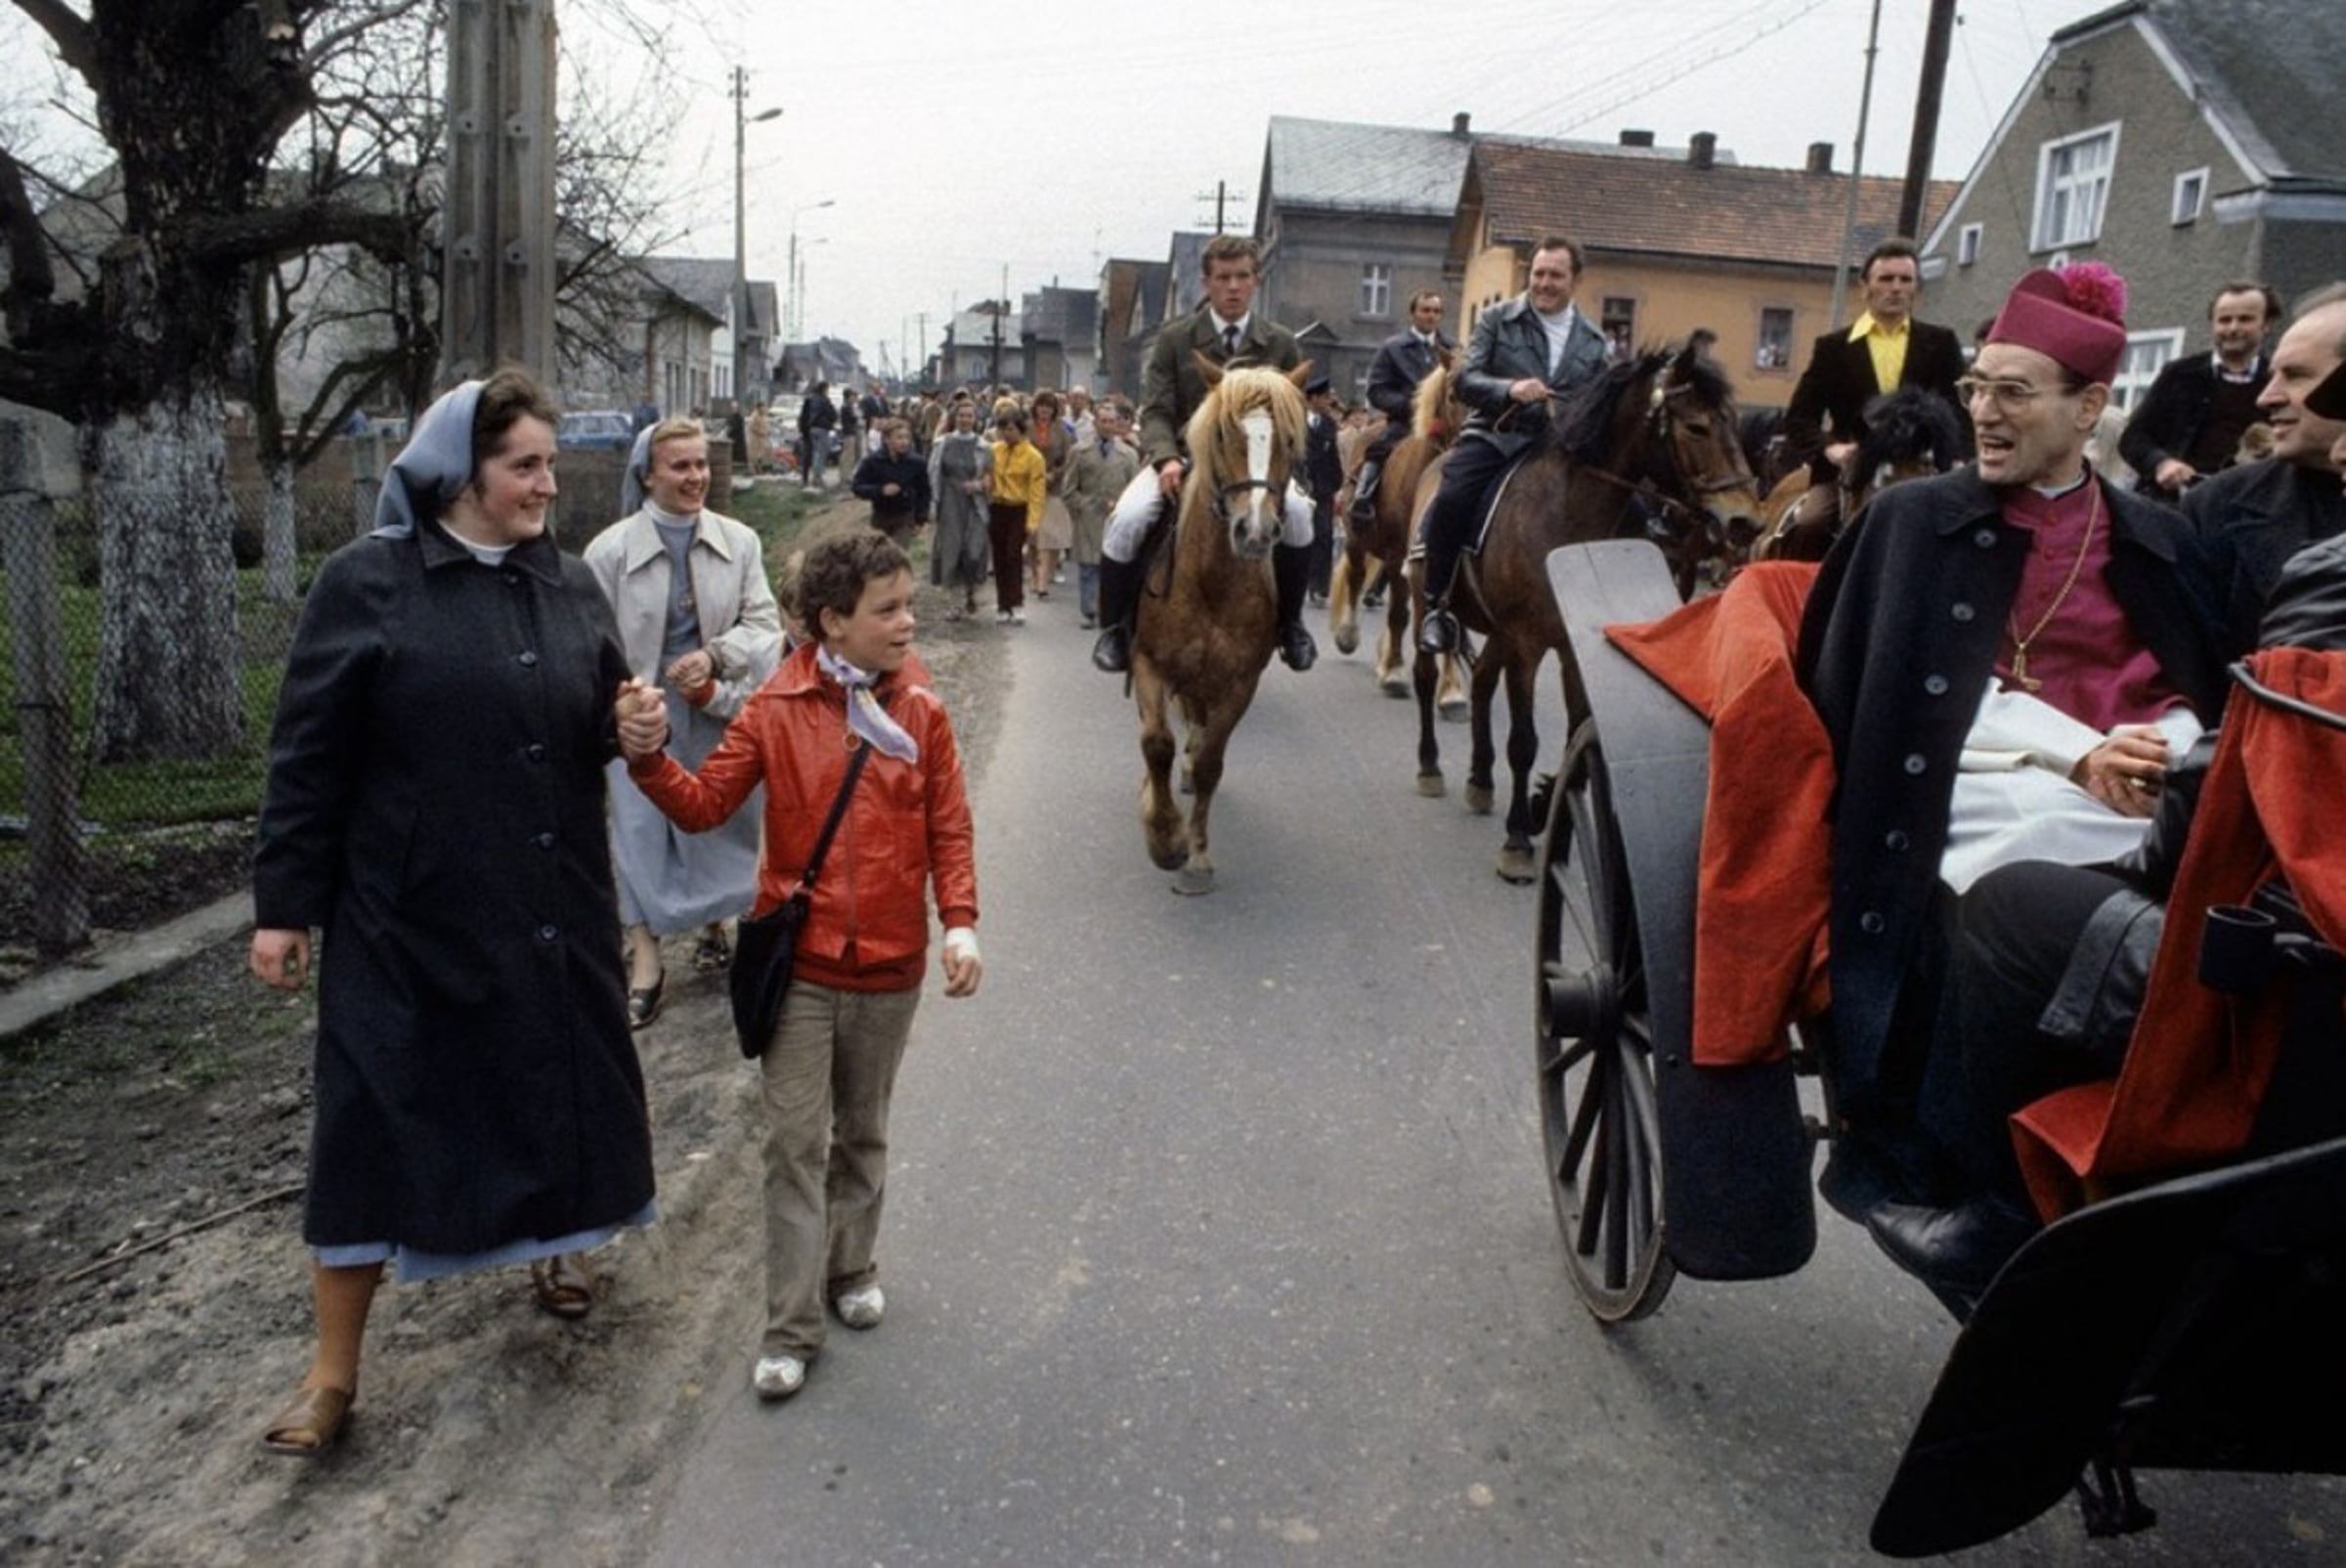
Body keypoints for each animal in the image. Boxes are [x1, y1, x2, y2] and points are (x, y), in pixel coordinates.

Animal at [1129, 359, 1312, 895]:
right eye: (1225, 433)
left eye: (1289, 438)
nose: (1255, 532)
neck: (1212, 581)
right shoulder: (1148, 663)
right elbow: (1156, 743)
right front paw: (1164, 838)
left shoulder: (1239, 683)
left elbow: (1211, 761)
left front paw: (1196, 857)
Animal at [1329, 360, 1471, 712]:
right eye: (1452, 395)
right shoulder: (1397, 557)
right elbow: (1398, 615)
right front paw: (1394, 672)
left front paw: (1451, 691)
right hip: (1355, 540)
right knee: (1356, 578)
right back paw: (1349, 635)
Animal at [1410, 340, 1764, 882]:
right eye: (1696, 427)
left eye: (1733, 422)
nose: (1745, 521)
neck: (1567, 516)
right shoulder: (1530, 644)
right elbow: (1525, 741)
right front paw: (1518, 838)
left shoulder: (1569, 645)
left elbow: (1575, 734)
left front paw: (1553, 807)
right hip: (1420, 599)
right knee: (1427, 674)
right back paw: (1430, 766)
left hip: (1498, 632)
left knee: (1484, 681)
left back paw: (1480, 778)